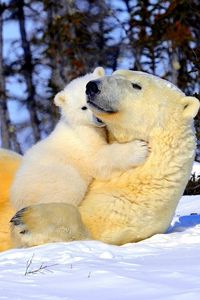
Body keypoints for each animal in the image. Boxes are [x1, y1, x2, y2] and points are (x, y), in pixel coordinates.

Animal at [1, 69, 198, 250]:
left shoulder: (127, 204)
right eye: (116, 72)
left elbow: (91, 227)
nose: (92, 87)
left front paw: (26, 219)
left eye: (136, 85)